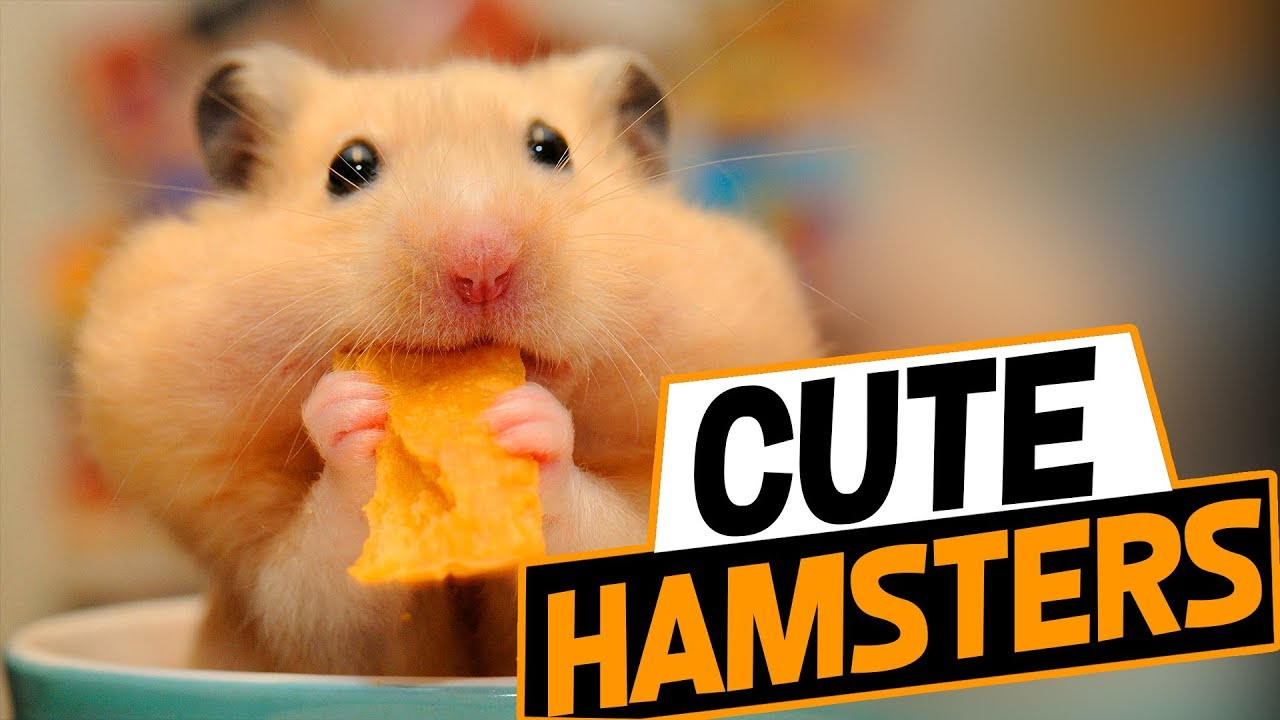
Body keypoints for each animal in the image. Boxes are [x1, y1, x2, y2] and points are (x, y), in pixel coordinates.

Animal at [74, 45, 820, 676]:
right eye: (349, 166)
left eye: (551, 147)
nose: (481, 263)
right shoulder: (283, 600)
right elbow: (327, 582)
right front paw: (352, 408)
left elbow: (594, 530)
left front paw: (528, 422)